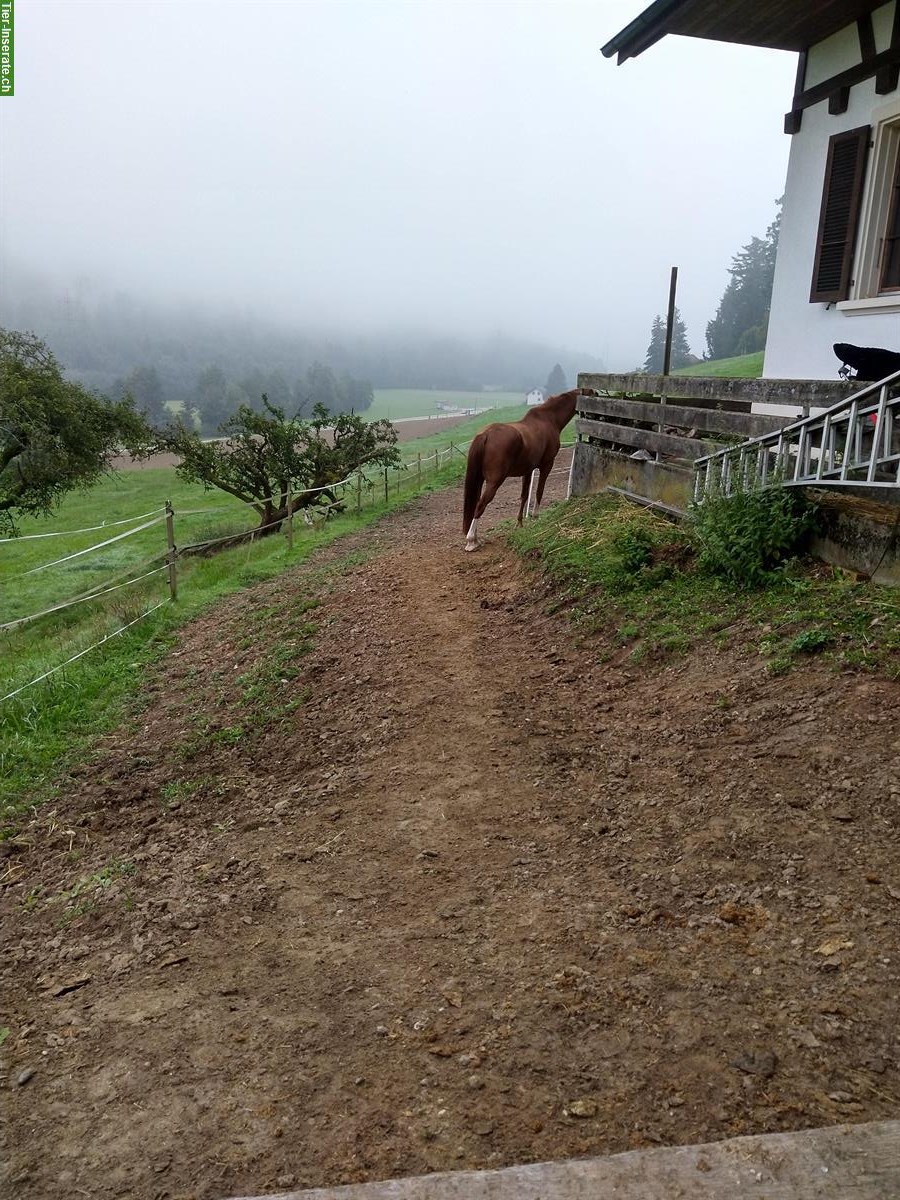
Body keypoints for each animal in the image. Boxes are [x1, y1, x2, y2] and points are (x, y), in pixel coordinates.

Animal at [465, 388, 585, 552]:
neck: (548, 420)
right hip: (494, 481)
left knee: (476, 503)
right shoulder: (547, 465)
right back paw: (471, 541)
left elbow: (524, 496)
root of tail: (486, 434)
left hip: (480, 479)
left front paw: (519, 523)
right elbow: (539, 491)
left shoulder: (528, 470)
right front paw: (535, 516)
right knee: (480, 505)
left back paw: (476, 537)